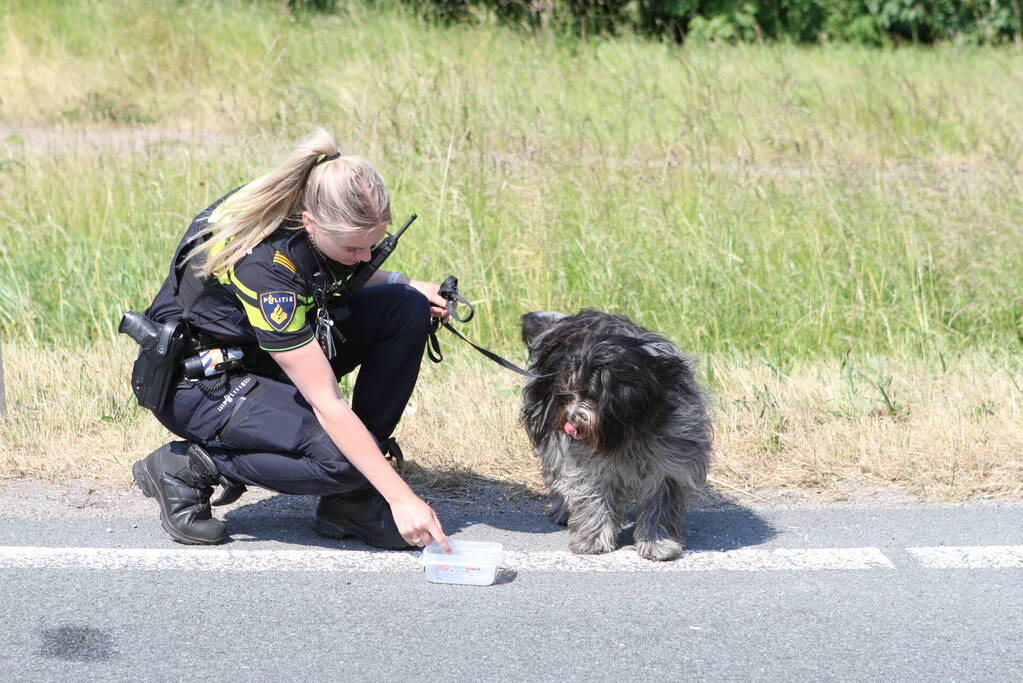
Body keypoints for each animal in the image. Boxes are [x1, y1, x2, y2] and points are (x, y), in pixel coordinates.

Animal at [519, 312, 712, 564]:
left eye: (591, 394)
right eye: (569, 392)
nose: (570, 420)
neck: (630, 429)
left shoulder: (670, 459)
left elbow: (660, 502)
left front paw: (657, 543)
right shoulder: (589, 462)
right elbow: (592, 496)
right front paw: (592, 540)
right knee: (557, 468)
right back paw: (563, 509)